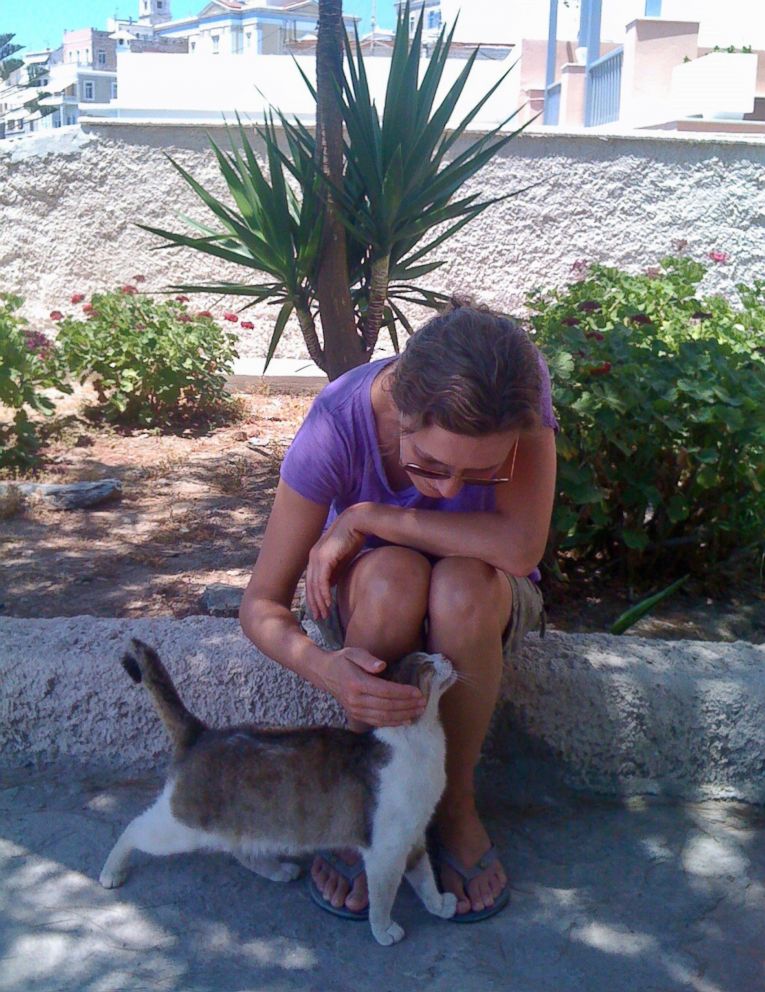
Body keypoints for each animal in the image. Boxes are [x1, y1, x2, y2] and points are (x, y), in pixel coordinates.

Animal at [98, 640, 456, 940]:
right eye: (427, 662)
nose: (445, 655)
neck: (423, 740)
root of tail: (201, 733)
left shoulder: (413, 839)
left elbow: (427, 880)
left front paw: (439, 905)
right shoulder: (386, 850)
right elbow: (383, 897)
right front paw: (384, 931)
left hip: (243, 824)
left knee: (241, 850)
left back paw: (277, 870)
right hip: (179, 827)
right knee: (133, 828)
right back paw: (111, 871)